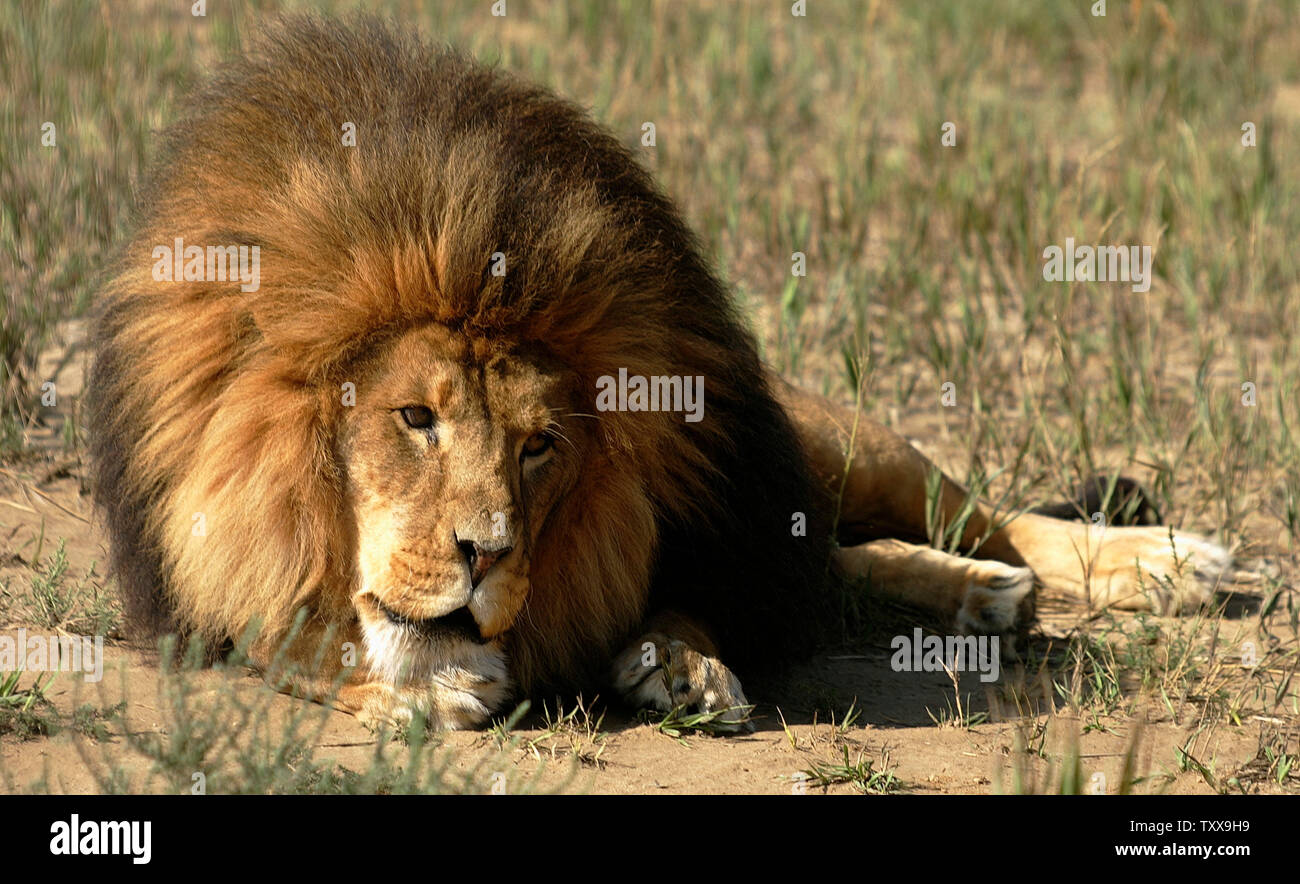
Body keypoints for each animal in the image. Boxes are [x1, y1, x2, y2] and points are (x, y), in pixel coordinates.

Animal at [89, 15, 1227, 733]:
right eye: (414, 418)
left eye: (540, 446)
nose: (486, 553)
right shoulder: (193, 587)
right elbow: (289, 640)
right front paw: (412, 689)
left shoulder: (717, 521)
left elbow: (690, 601)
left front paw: (679, 663)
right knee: (861, 556)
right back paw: (983, 593)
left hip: (835, 445)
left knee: (979, 515)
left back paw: (1153, 563)